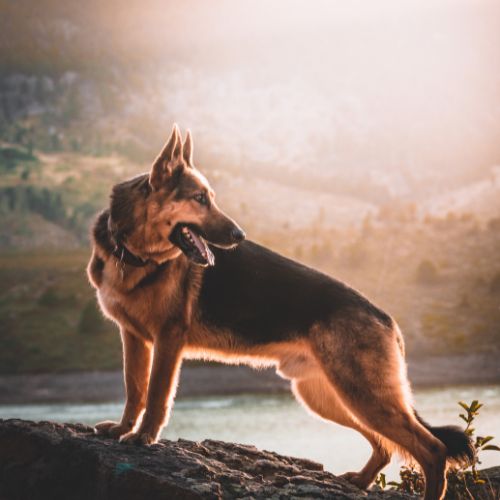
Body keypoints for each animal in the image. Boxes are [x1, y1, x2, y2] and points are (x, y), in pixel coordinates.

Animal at [88, 125, 474, 500]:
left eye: (210, 198)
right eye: (199, 199)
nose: (239, 235)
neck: (133, 254)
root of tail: (388, 320)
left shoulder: (168, 341)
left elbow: (155, 395)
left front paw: (143, 437)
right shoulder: (134, 338)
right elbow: (134, 388)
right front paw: (123, 429)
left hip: (361, 395)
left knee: (432, 448)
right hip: (328, 397)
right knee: (386, 445)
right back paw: (362, 479)